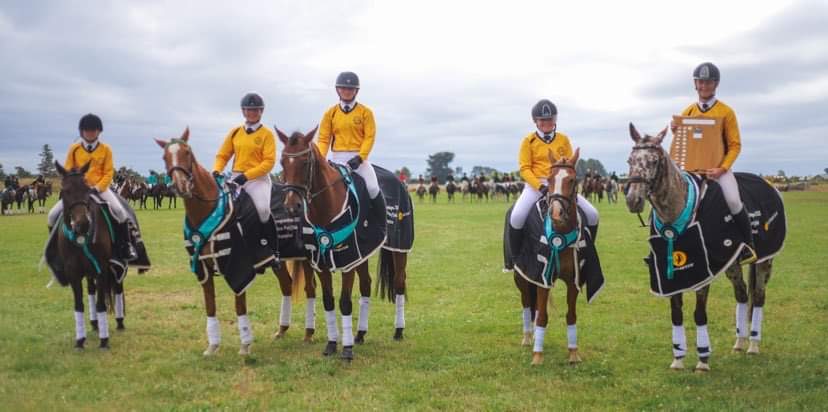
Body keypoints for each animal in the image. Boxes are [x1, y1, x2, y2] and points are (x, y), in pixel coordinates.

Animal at [50, 161, 119, 348]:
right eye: (65, 190)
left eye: (87, 189)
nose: (83, 224)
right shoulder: (73, 272)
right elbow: (79, 305)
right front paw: (80, 340)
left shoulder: (101, 269)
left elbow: (101, 304)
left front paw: (104, 341)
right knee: (91, 290)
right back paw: (94, 324)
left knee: (117, 288)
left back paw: (120, 321)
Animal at [276, 128, 410, 360]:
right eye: (283, 162)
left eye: (305, 162)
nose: (292, 206)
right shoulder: (322, 262)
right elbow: (328, 300)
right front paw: (331, 344)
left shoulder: (348, 260)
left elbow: (345, 302)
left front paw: (346, 350)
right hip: (364, 253)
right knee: (366, 284)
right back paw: (360, 334)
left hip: (399, 248)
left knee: (399, 283)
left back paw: (398, 330)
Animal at [504, 147, 600, 364]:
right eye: (549, 178)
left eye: (572, 180)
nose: (556, 213)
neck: (561, 232)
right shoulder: (541, 278)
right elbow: (542, 317)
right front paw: (537, 357)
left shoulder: (573, 281)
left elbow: (571, 315)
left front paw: (573, 353)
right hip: (521, 276)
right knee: (526, 303)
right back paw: (527, 337)